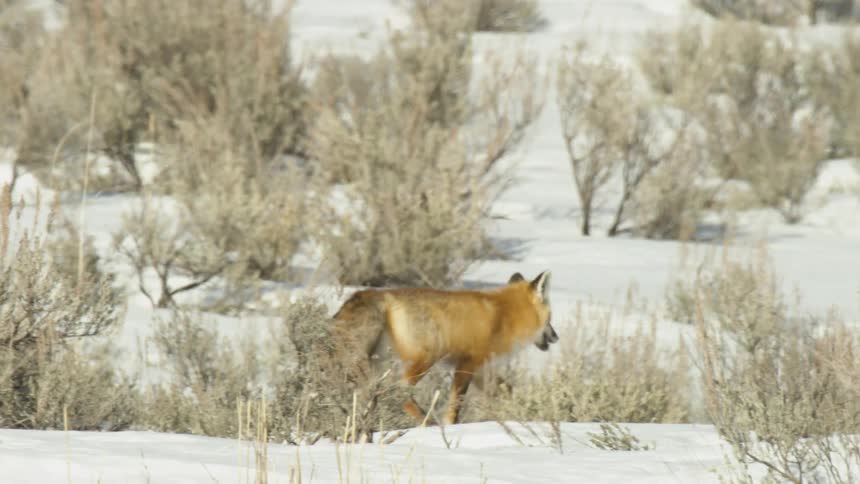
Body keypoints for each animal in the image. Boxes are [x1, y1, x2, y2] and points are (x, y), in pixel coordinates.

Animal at [331, 271, 558, 425]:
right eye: (550, 319)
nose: (556, 337)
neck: (503, 315)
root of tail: (379, 294)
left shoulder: (481, 370)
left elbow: (507, 392)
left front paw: (521, 415)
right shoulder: (467, 363)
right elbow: (456, 404)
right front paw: (451, 425)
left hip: (378, 364)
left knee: (375, 393)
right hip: (424, 360)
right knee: (396, 391)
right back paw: (427, 423)